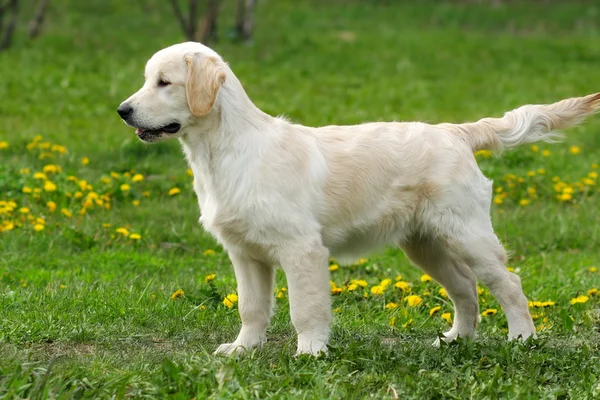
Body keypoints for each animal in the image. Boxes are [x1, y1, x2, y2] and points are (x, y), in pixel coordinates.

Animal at [118, 41, 600, 356]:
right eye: (147, 80)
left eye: (164, 82)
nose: (123, 111)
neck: (224, 150)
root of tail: (455, 131)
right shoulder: (245, 253)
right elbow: (251, 308)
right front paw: (242, 349)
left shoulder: (302, 249)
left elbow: (306, 309)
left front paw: (310, 353)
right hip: (424, 244)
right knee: (465, 288)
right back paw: (456, 340)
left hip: (467, 234)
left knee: (508, 283)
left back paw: (522, 339)